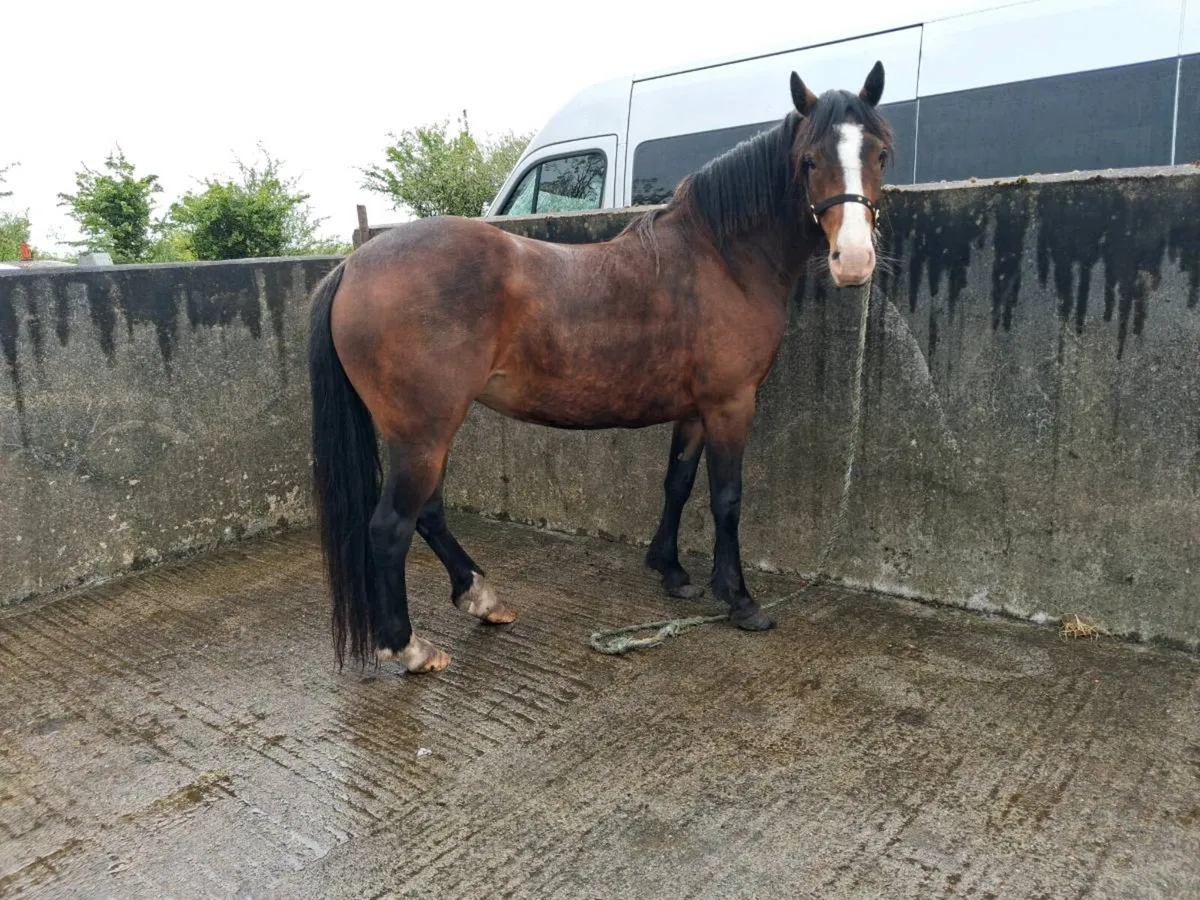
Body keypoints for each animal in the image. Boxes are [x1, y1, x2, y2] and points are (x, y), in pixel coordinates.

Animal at [307, 62, 894, 674]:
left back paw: (483, 598)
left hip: (424, 431)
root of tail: (353, 265)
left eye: (881, 154)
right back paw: (411, 646)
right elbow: (727, 498)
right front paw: (739, 599)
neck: (721, 258)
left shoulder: (695, 409)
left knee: (428, 513)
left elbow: (678, 482)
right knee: (391, 527)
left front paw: (672, 571)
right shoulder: (731, 403)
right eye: (809, 160)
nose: (854, 260)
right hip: (425, 431)